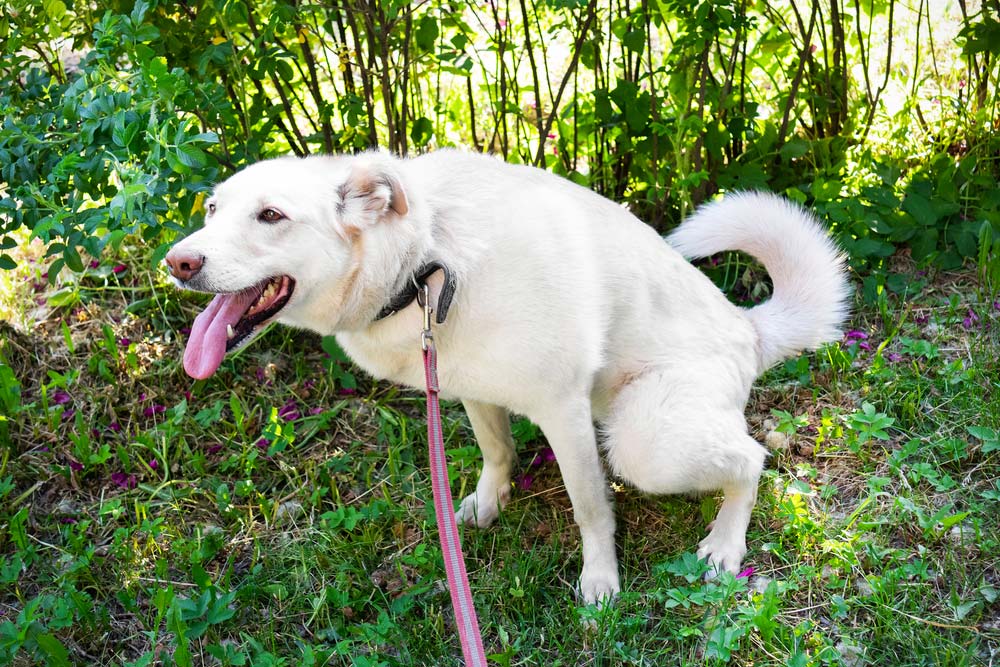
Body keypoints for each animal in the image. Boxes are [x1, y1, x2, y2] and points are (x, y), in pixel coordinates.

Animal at [166, 150, 852, 604]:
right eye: (212, 209)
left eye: (271, 215)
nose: (176, 262)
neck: (426, 260)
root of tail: (750, 331)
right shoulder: (469, 386)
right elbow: (497, 452)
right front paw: (487, 504)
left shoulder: (563, 410)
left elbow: (590, 509)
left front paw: (600, 581)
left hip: (646, 443)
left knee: (751, 459)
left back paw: (725, 543)